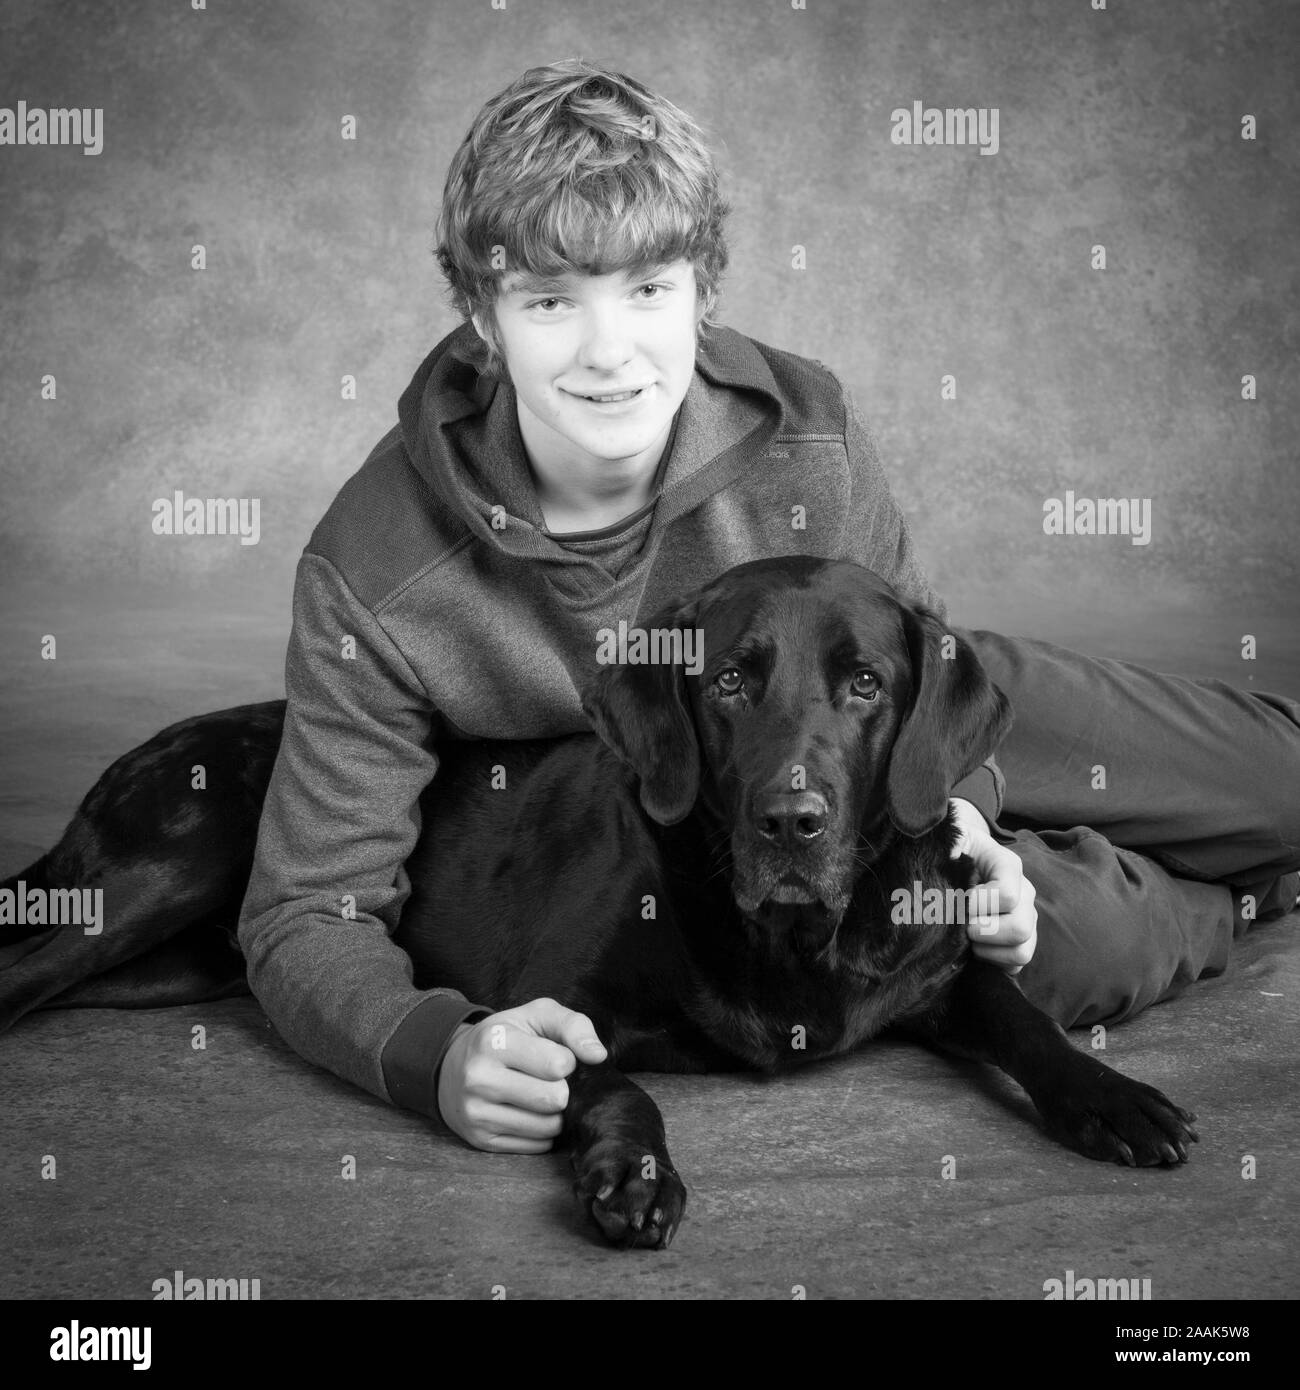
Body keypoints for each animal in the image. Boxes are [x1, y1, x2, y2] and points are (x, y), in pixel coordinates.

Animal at [2, 556, 1201, 1251]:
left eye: (867, 685)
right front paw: (633, 1173)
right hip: (160, 874)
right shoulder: (540, 1001)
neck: (789, 933)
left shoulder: (935, 974)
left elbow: (1022, 1015)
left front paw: (1115, 1097)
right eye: (730, 682)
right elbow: (610, 1080)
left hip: (178, 964)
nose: (792, 821)